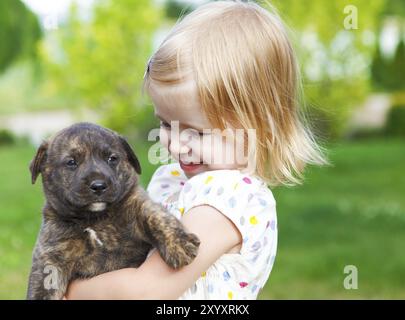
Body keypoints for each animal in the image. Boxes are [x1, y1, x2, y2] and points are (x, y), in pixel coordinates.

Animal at [26, 122, 200, 300]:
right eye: (71, 162)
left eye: (112, 158)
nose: (98, 186)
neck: (95, 219)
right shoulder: (50, 259)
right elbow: (43, 288)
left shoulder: (136, 202)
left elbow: (155, 215)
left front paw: (179, 244)